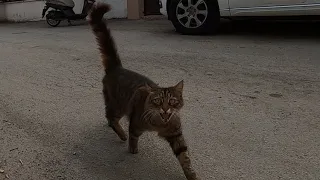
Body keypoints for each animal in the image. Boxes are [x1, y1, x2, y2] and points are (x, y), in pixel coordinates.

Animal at [87, 3, 198, 180]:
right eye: (158, 101)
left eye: (172, 101)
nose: (165, 109)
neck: (160, 124)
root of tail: (117, 67)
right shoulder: (135, 122)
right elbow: (133, 136)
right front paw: (133, 148)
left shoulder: (176, 134)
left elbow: (185, 157)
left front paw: (192, 174)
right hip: (118, 105)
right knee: (110, 118)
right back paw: (121, 134)